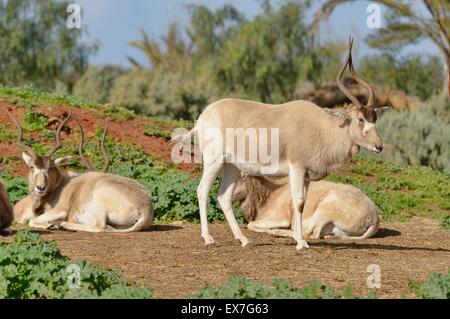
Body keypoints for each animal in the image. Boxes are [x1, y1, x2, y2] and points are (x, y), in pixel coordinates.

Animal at [232, 178, 380, 240]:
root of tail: (374, 219)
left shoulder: (281, 217)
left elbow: (251, 225)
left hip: (325, 208)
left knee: (308, 233)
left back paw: (274, 232)